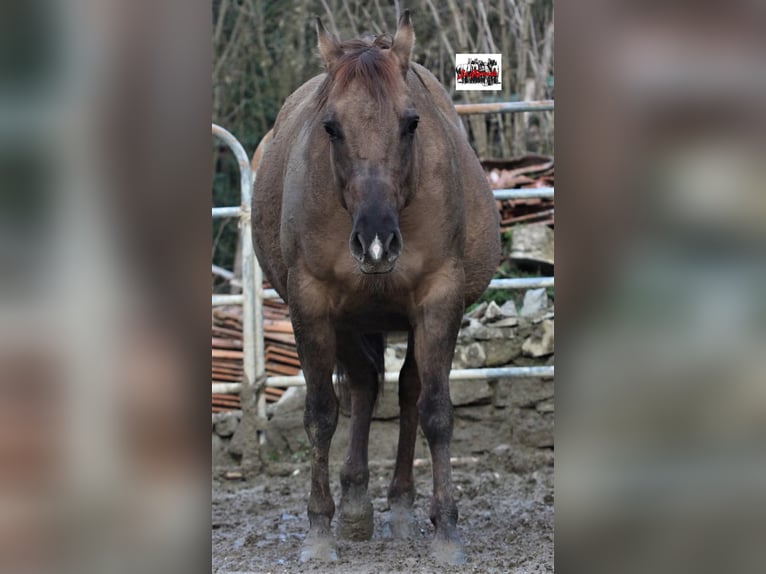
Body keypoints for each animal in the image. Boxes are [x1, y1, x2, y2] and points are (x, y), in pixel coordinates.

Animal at [252, 11, 500, 564]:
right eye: (330, 127)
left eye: (411, 123)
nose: (376, 243)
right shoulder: (311, 305)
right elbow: (321, 413)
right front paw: (320, 530)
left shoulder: (439, 300)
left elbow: (436, 411)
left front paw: (447, 530)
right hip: (347, 320)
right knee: (364, 387)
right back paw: (356, 506)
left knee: (407, 393)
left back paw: (401, 508)